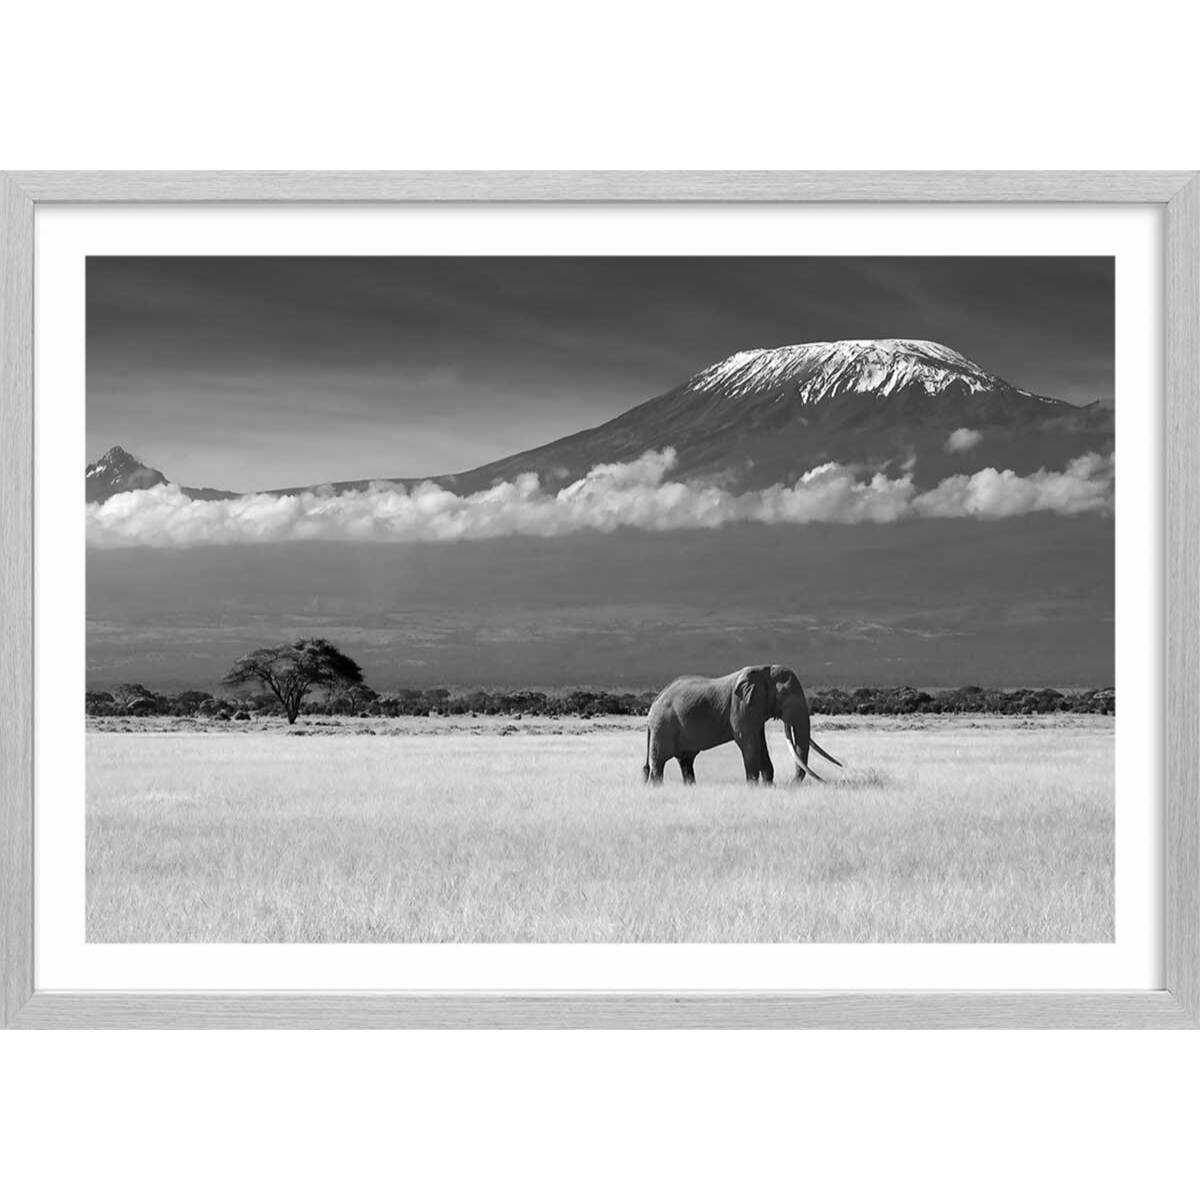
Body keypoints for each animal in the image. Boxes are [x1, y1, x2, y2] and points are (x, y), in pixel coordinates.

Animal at [642, 664, 843, 786]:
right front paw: (753, 786)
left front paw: (768, 786)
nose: (791, 785)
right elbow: (748, 742)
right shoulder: (740, 706)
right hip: (663, 727)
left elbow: (761, 743)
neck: (764, 671)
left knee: (686, 761)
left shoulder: (755, 708)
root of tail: (654, 702)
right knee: (659, 762)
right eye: (785, 695)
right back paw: (657, 787)